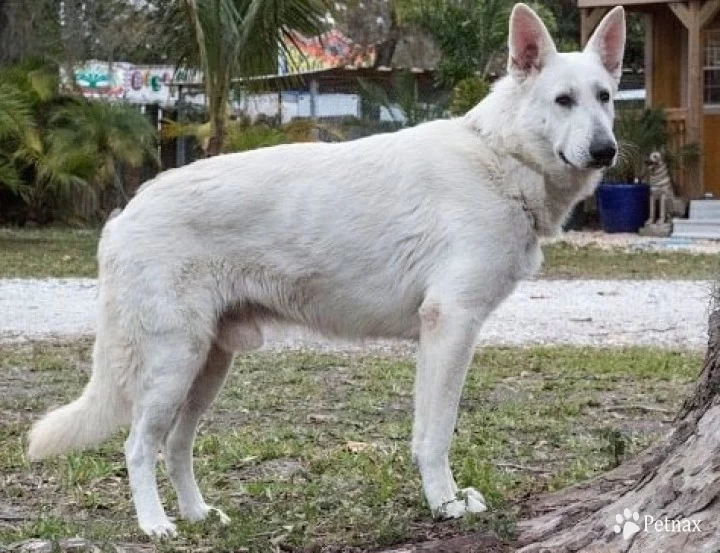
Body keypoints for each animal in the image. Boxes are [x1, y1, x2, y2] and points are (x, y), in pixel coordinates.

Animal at [28, 4, 624, 536]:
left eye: (605, 98)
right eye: (563, 100)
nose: (606, 151)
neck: (500, 158)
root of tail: (126, 211)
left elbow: (429, 431)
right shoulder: (450, 326)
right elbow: (434, 436)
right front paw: (445, 504)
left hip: (208, 367)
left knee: (175, 446)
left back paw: (198, 515)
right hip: (174, 363)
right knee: (137, 446)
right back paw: (155, 526)